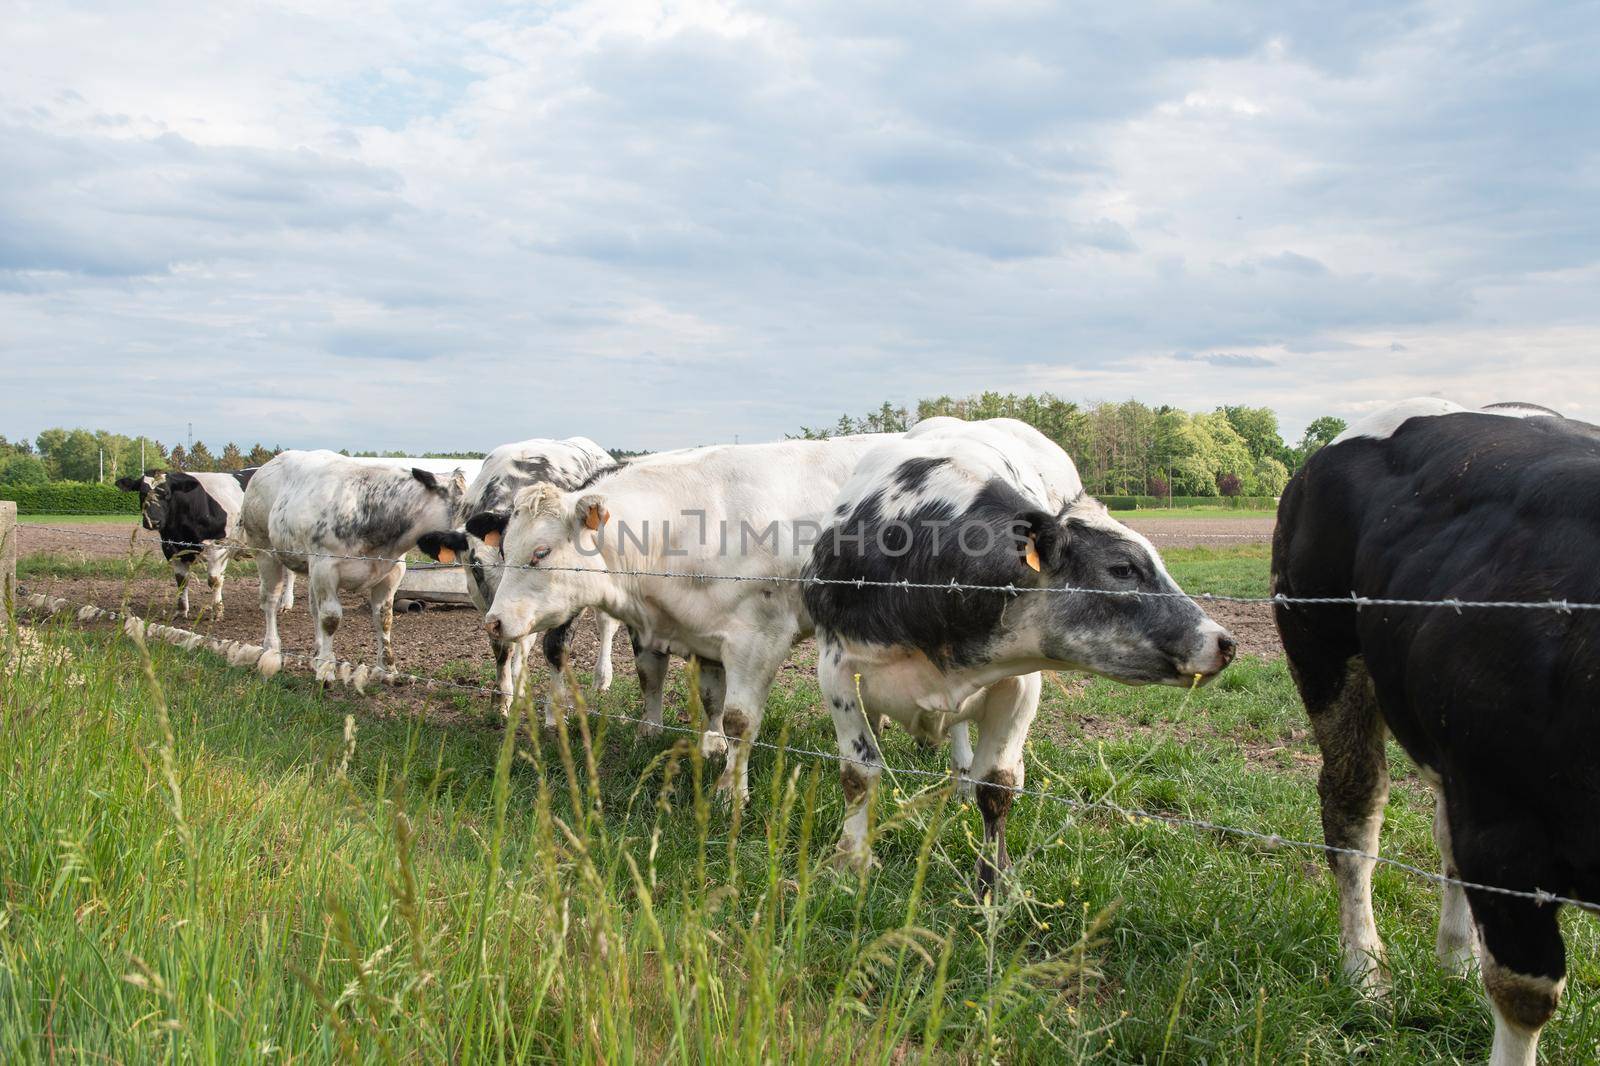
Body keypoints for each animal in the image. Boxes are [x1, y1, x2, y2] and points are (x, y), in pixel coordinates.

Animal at [236, 451, 467, 669]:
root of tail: (266, 466)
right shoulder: (325, 566)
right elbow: (330, 618)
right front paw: (326, 668)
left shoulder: (393, 572)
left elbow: (384, 618)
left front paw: (387, 669)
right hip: (265, 551)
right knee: (270, 600)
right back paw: (272, 649)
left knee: (313, 607)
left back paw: (316, 652)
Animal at [412, 435, 624, 717]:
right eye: (476, 567)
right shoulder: (482, 600)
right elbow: (502, 646)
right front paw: (503, 699)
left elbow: (555, 647)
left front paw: (553, 712)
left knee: (606, 624)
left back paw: (601, 679)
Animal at [473, 432, 902, 787]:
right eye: (504, 548)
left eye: (541, 552)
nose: (493, 622)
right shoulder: (695, 631)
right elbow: (687, 690)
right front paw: (704, 744)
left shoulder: (759, 639)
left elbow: (739, 719)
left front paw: (731, 790)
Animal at [800, 416, 1235, 889]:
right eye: (1122, 569)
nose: (1224, 642)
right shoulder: (837, 671)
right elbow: (860, 773)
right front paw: (850, 862)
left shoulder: (1019, 685)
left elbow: (997, 786)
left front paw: (992, 880)